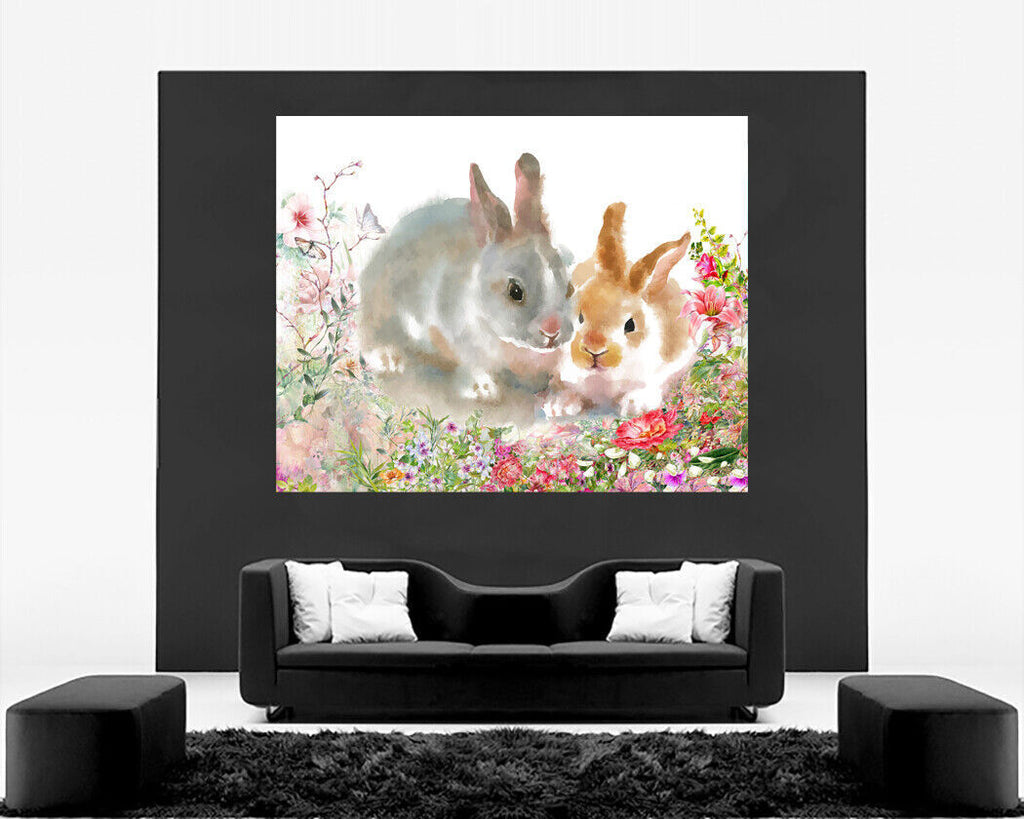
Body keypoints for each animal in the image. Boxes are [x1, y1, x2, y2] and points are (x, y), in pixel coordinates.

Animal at [359, 153, 575, 417]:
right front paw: (483, 389)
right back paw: (388, 358)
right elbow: (473, 364)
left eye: (569, 287)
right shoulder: (453, 334)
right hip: (381, 303)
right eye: (515, 292)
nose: (552, 331)